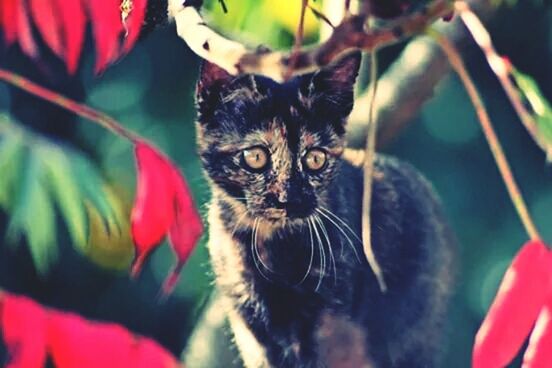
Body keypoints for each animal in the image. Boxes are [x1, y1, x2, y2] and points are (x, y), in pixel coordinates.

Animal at [196, 52, 454, 368]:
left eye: (315, 159)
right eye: (255, 157)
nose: (290, 198)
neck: (273, 247)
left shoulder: (330, 324)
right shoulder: (251, 327)